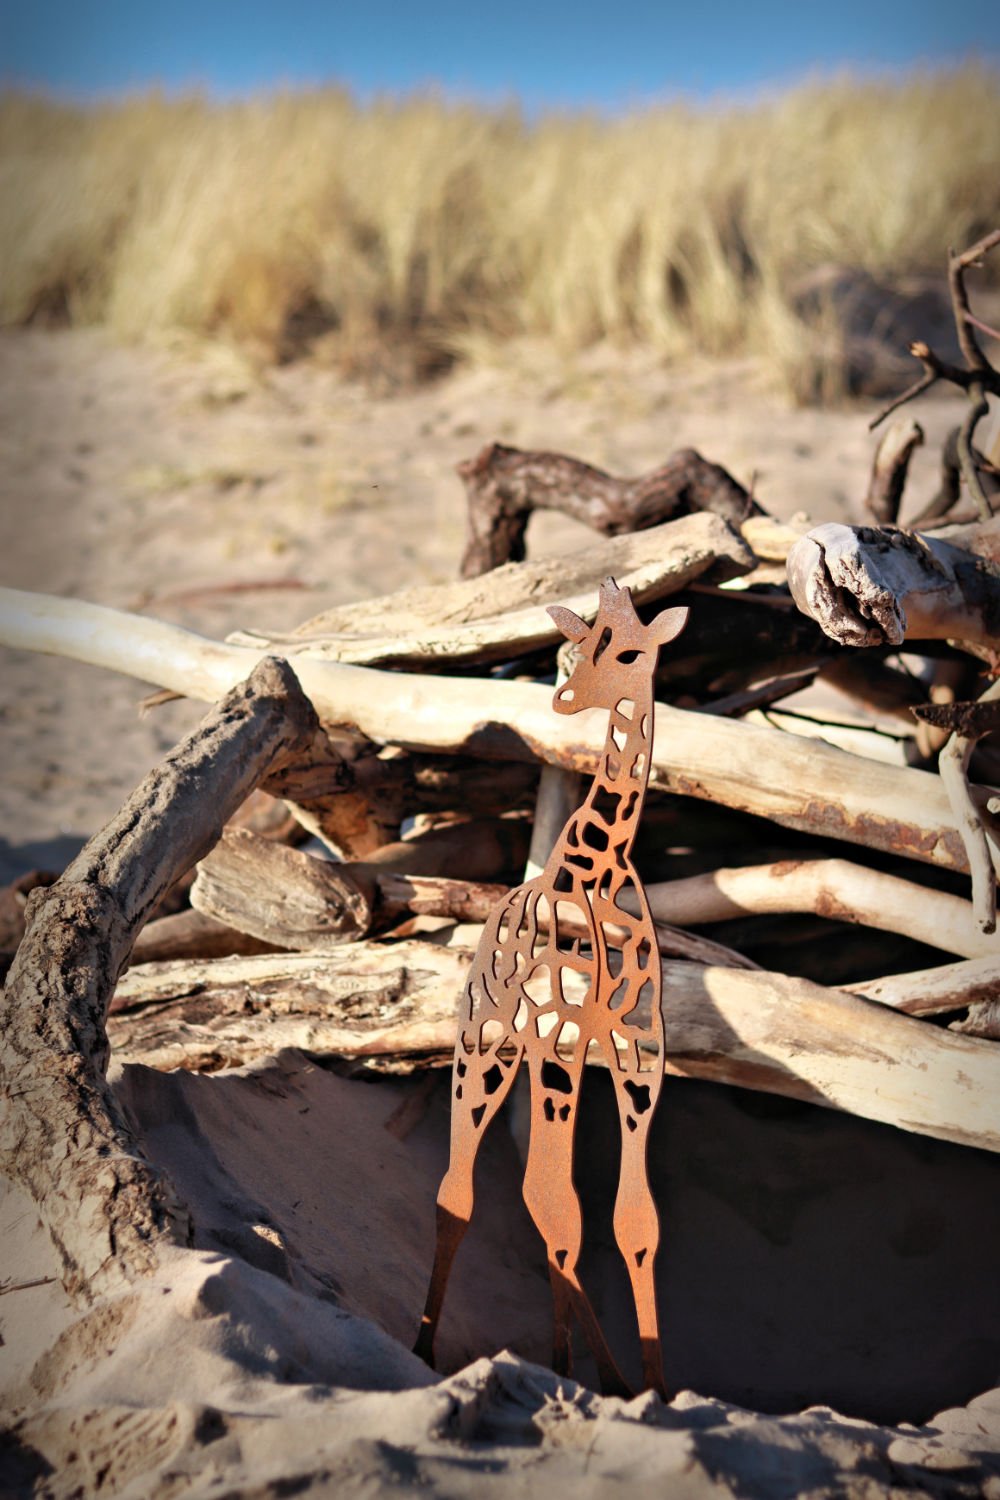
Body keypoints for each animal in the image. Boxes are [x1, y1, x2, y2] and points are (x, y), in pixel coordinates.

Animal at [415, 577, 688, 1397]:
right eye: (576, 647)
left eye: (628, 652)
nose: (565, 699)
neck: (599, 869)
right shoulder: (559, 1042)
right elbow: (556, 1204)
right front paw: (604, 1377)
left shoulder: (637, 1051)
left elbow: (635, 1220)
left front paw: (655, 1384)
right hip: (485, 1046)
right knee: (461, 1189)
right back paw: (427, 1347)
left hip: (519, 1053)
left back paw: (585, 1368)